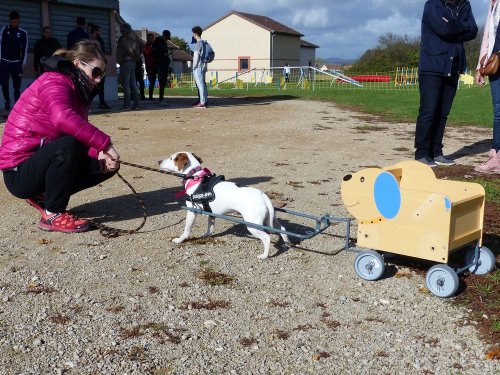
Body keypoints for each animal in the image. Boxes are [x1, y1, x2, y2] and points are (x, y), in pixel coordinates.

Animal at [158, 151, 288, 260]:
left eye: (171, 158)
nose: (158, 161)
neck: (194, 176)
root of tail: (263, 196)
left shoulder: (192, 211)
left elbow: (186, 230)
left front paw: (179, 240)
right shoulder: (210, 213)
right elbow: (210, 228)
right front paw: (207, 235)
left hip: (253, 225)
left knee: (267, 238)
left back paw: (264, 255)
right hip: (271, 221)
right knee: (282, 229)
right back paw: (287, 243)